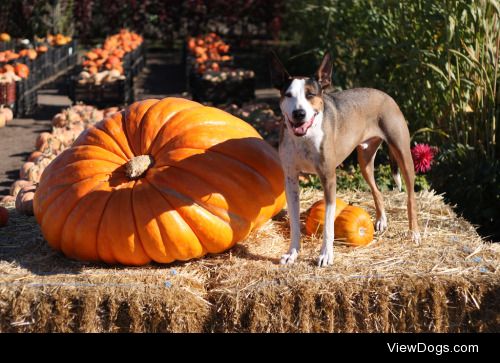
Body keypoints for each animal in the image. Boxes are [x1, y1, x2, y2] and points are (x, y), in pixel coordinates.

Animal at [270, 52, 422, 268]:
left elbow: (328, 225)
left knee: (410, 197)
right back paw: (381, 220)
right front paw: (293, 253)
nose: (299, 113)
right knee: (376, 190)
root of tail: (385, 95)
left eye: (310, 94)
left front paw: (326, 255)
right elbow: (294, 223)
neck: (306, 137)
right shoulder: (291, 180)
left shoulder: (329, 179)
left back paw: (414, 233)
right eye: (288, 95)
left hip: (403, 155)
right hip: (364, 162)